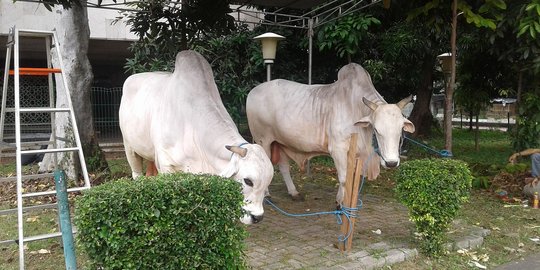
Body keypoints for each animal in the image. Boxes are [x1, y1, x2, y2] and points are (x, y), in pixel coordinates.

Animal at [118, 50, 274, 224]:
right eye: (248, 181)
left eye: (268, 182)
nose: (257, 217)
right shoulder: (166, 165)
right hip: (129, 146)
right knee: (137, 173)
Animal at [247, 62, 416, 205]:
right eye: (377, 130)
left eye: (400, 130)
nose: (391, 163)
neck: (356, 109)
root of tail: (252, 92)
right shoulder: (337, 149)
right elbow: (343, 178)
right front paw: (341, 204)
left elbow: (351, 180)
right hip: (263, 140)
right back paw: (267, 195)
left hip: (280, 142)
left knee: (283, 166)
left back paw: (294, 192)